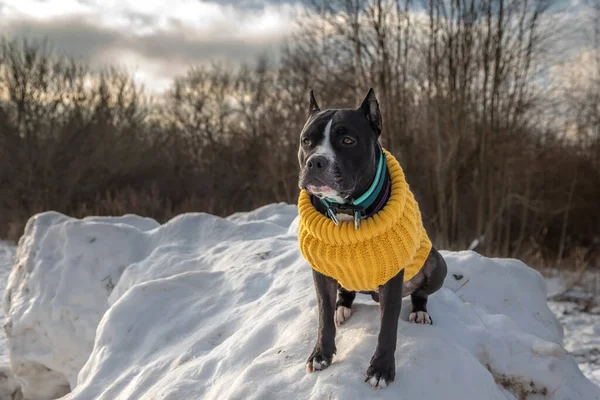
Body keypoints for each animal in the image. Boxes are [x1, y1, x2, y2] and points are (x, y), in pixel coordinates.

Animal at [298, 88, 448, 388]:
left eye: (348, 140)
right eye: (306, 141)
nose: (316, 161)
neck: (346, 211)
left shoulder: (392, 276)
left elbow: (387, 328)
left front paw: (380, 369)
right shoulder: (320, 271)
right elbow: (323, 316)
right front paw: (321, 354)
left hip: (436, 263)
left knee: (421, 293)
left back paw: (419, 311)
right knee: (344, 293)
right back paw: (342, 307)